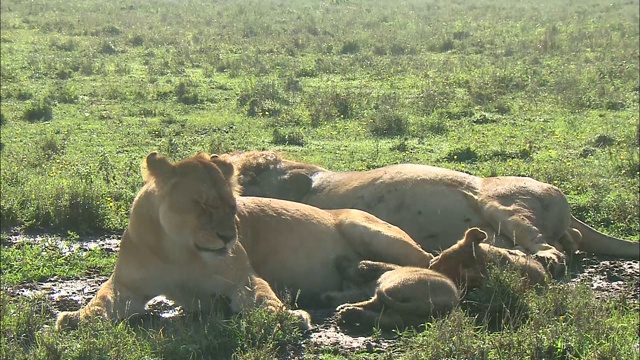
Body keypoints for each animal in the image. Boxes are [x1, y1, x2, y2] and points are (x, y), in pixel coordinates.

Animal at [56, 152, 436, 332]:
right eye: (203, 205)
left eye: (233, 206)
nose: (227, 236)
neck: (180, 251)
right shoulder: (126, 286)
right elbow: (100, 302)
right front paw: (73, 319)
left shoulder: (242, 278)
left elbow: (263, 299)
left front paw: (289, 318)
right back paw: (335, 293)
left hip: (364, 226)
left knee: (424, 265)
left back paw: (361, 272)